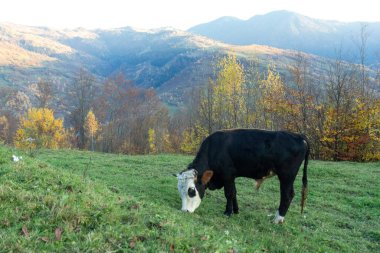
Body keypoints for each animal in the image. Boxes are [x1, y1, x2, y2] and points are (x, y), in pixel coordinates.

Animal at [175, 128, 308, 223]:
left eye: (192, 191)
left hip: (286, 176)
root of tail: (299, 136)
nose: (184, 211)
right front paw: (236, 211)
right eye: (180, 191)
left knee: (287, 195)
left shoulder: (227, 175)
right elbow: (234, 193)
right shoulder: (231, 176)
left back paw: (278, 219)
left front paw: (228, 213)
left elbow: (228, 193)